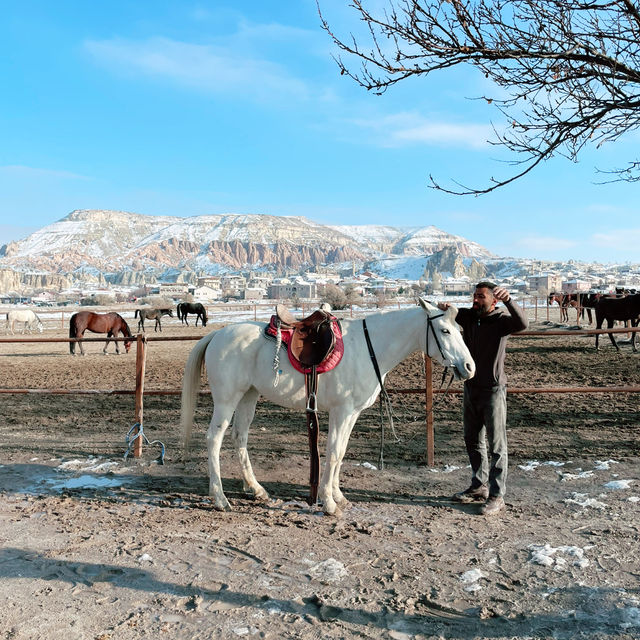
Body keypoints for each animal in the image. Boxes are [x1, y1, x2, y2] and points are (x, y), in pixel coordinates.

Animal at [180, 298, 476, 516]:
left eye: (460, 330)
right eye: (445, 330)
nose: (469, 367)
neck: (369, 347)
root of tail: (217, 334)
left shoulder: (352, 413)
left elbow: (341, 452)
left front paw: (338, 496)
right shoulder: (341, 411)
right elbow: (333, 453)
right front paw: (330, 504)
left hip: (248, 396)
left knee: (239, 437)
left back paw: (256, 489)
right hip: (227, 399)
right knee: (214, 438)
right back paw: (220, 498)